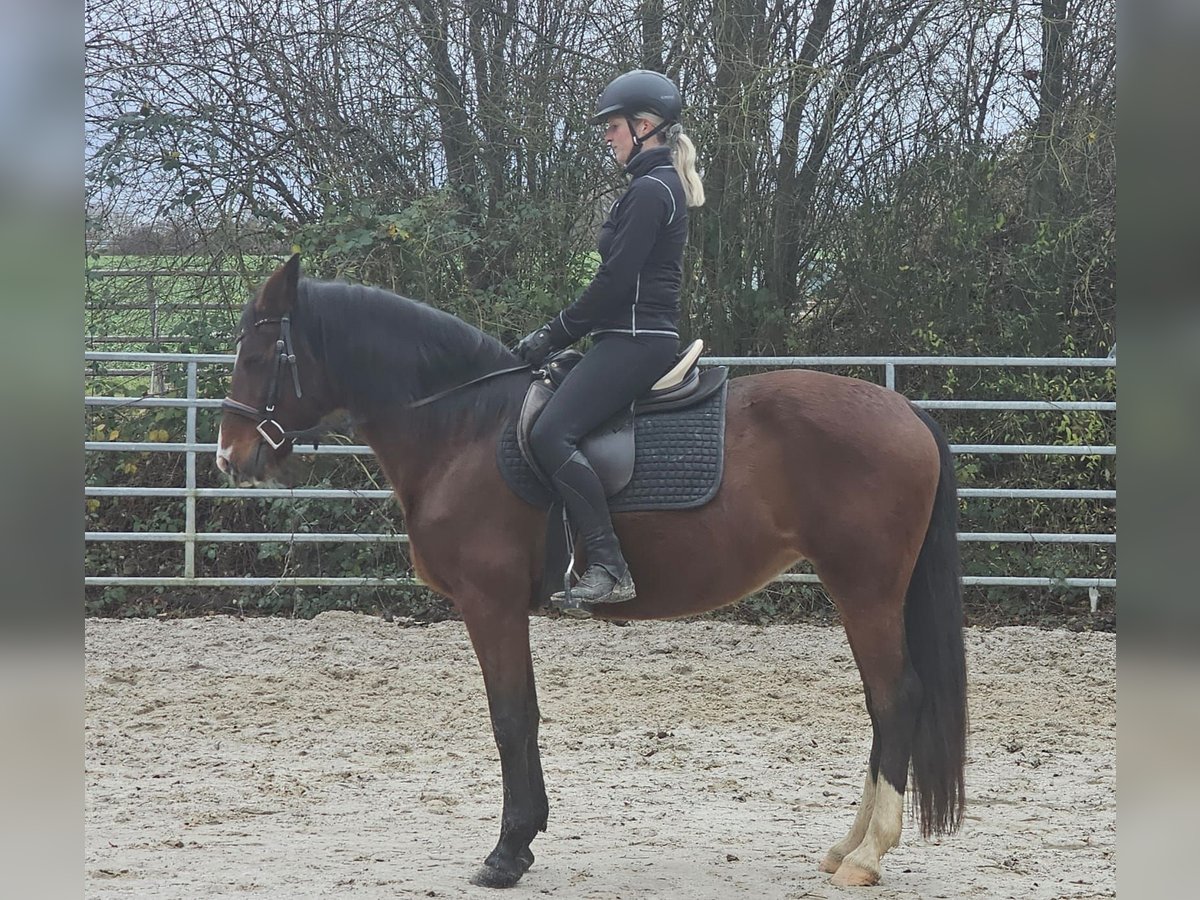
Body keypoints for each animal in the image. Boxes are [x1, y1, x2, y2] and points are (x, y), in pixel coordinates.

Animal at [213, 256, 964, 892]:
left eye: (257, 356)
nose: (228, 457)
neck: (463, 427)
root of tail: (907, 411)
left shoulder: (489, 603)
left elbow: (511, 717)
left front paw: (506, 852)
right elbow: (526, 713)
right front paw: (525, 840)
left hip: (865, 589)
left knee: (896, 698)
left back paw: (868, 855)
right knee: (880, 703)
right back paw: (847, 845)